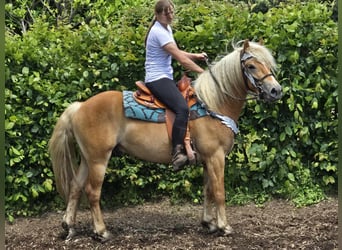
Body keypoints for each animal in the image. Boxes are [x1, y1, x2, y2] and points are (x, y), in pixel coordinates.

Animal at [49, 40, 282, 241]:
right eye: (251, 66)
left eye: (267, 63)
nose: (275, 90)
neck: (213, 104)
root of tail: (80, 106)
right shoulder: (216, 157)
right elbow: (219, 191)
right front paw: (224, 226)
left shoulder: (207, 159)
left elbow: (208, 190)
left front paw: (209, 223)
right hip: (99, 159)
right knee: (92, 191)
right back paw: (101, 232)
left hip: (87, 158)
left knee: (76, 186)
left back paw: (69, 226)